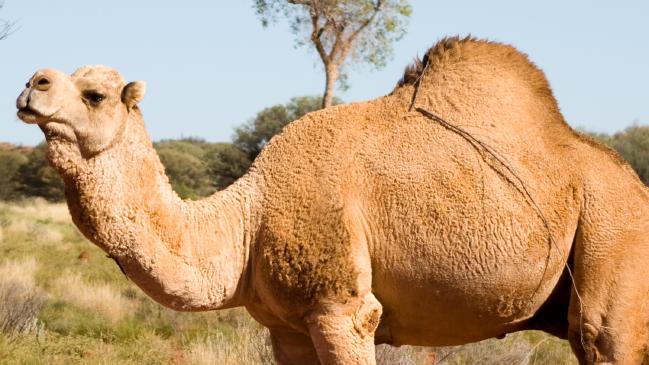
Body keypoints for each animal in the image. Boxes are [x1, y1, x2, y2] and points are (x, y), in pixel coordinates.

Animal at [13, 38, 648, 362]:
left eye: (94, 95)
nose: (30, 84)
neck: (248, 221)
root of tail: (635, 184)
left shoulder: (341, 309)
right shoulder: (286, 328)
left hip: (613, 234)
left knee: (604, 334)